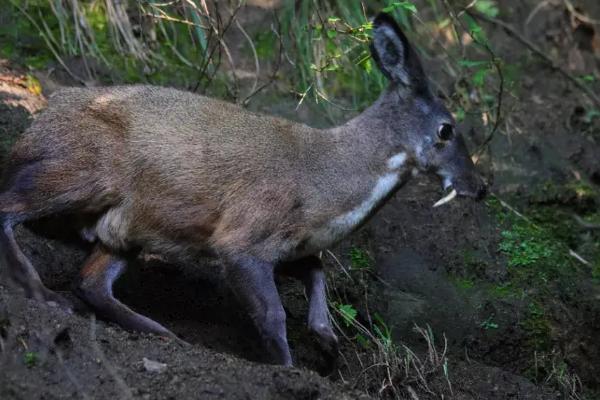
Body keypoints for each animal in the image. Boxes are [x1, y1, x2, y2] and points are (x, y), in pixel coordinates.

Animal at [0, 13, 482, 366]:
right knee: (8, 208)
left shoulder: (285, 241)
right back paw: (41, 293)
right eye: (446, 129)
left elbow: (315, 269)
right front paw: (288, 369)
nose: (478, 187)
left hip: (126, 226)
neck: (321, 183)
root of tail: (38, 121)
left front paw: (326, 340)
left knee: (91, 281)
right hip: (84, 171)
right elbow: (272, 313)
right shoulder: (242, 233)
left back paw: (162, 333)